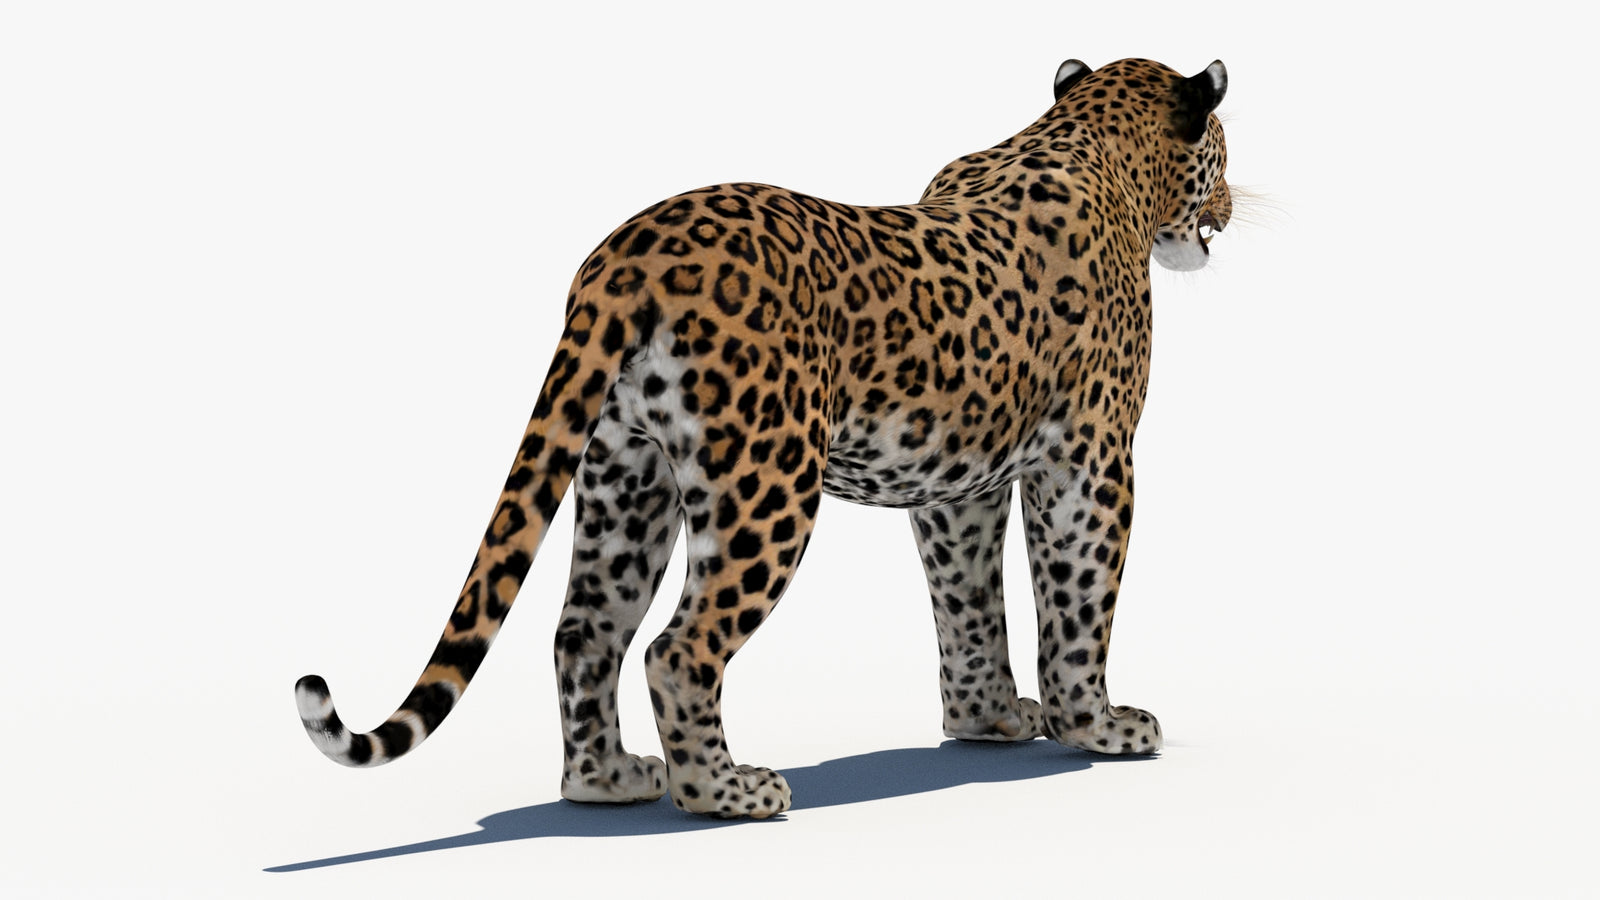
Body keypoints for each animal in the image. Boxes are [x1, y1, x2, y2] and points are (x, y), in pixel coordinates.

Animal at [295, 57, 1233, 819]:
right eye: (1221, 153)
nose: (1228, 206)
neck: (1092, 141)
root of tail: (625, 256)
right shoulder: (1092, 460)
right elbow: (1079, 599)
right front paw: (1098, 726)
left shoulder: (958, 487)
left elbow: (968, 603)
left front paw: (990, 719)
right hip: (766, 482)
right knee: (677, 648)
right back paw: (726, 792)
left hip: (625, 474)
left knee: (585, 630)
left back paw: (608, 781)